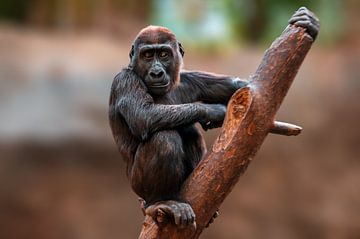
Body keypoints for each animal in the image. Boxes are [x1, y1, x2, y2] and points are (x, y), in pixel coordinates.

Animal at [108, 7, 320, 228]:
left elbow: (243, 86)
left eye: (164, 54)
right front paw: (215, 111)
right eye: (147, 55)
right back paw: (161, 201)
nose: (156, 72)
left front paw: (309, 24)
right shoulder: (124, 81)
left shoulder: (190, 79)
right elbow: (143, 115)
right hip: (137, 186)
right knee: (163, 137)